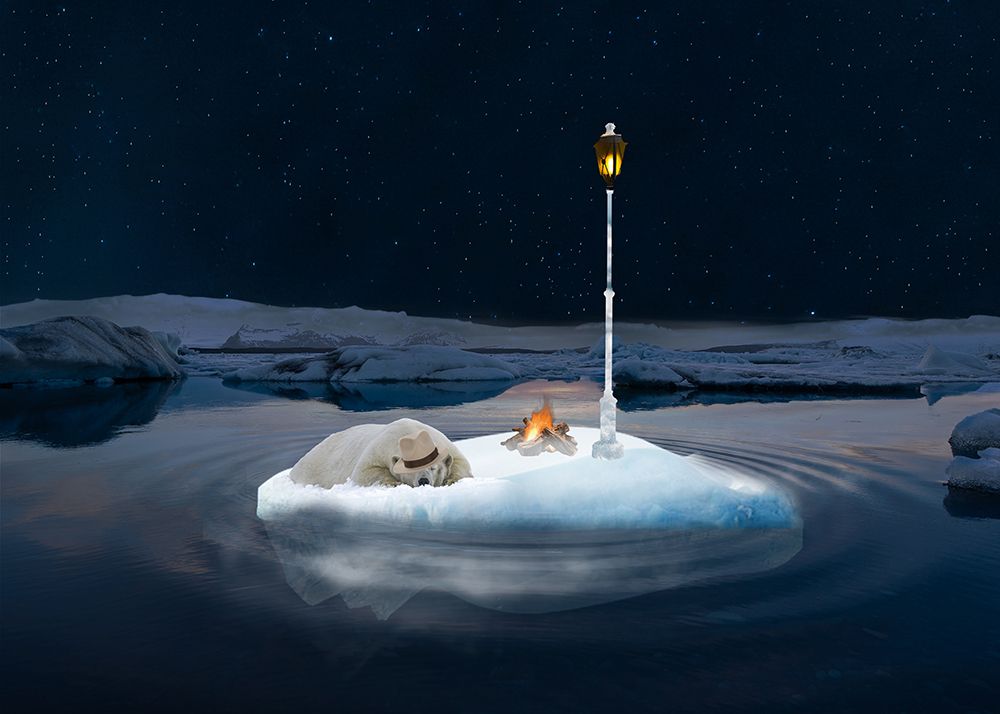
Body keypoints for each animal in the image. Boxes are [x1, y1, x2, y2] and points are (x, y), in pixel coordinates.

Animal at [289, 418, 473, 489]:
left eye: (434, 468)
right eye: (411, 470)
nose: (423, 481)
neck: (409, 432)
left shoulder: (444, 444)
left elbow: (461, 464)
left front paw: (450, 479)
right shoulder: (379, 449)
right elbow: (364, 473)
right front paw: (395, 483)